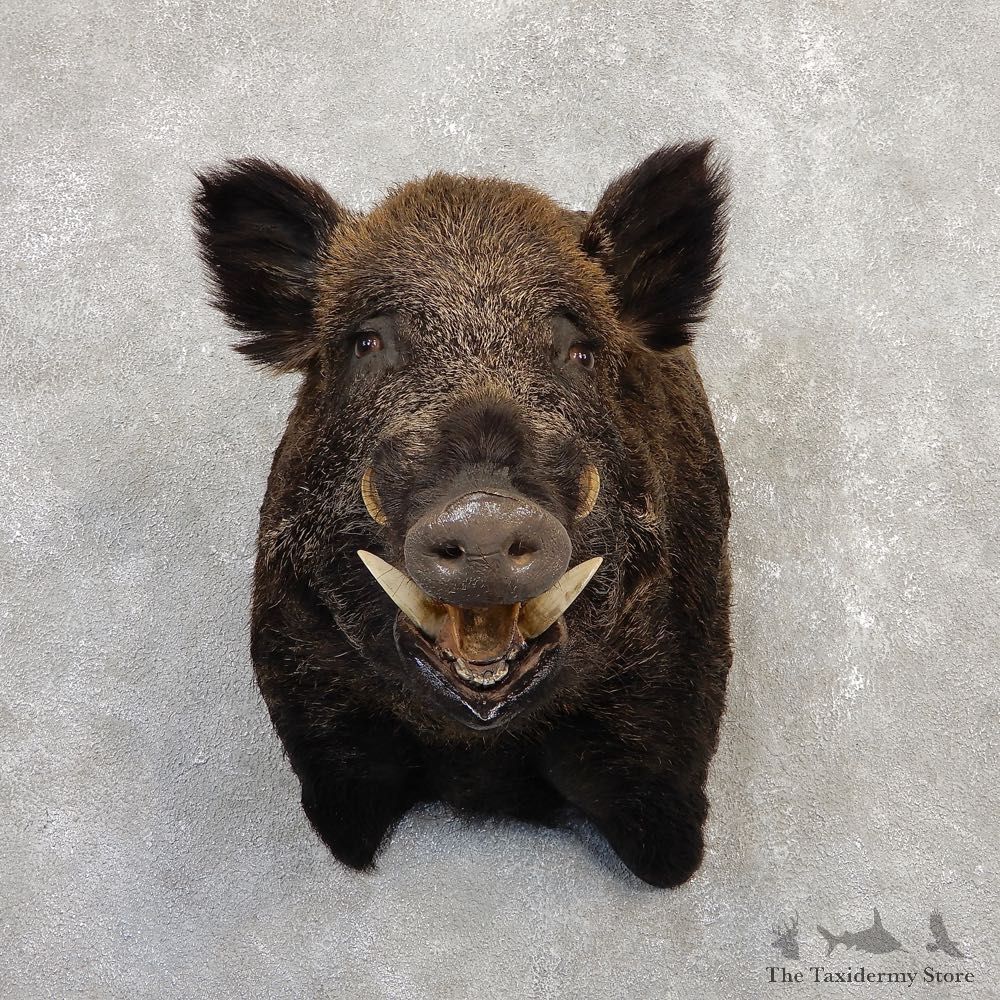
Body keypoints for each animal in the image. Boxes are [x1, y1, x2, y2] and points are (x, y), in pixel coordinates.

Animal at [192, 142, 732, 888]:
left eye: (579, 351)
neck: (482, 763)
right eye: (366, 345)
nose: (483, 512)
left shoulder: (669, 696)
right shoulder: (310, 696)